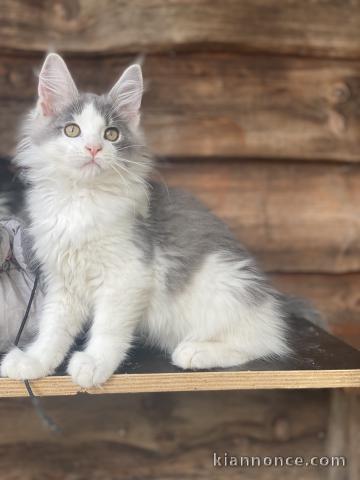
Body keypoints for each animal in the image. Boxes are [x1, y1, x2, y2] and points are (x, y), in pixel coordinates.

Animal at [0, 54, 314, 388]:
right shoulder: (63, 280)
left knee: (263, 342)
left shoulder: (129, 275)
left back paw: (197, 351)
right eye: (72, 130)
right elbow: (54, 327)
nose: (93, 148)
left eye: (111, 134)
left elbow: (109, 327)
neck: (81, 201)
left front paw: (95, 363)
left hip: (224, 284)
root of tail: (271, 302)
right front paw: (36, 361)